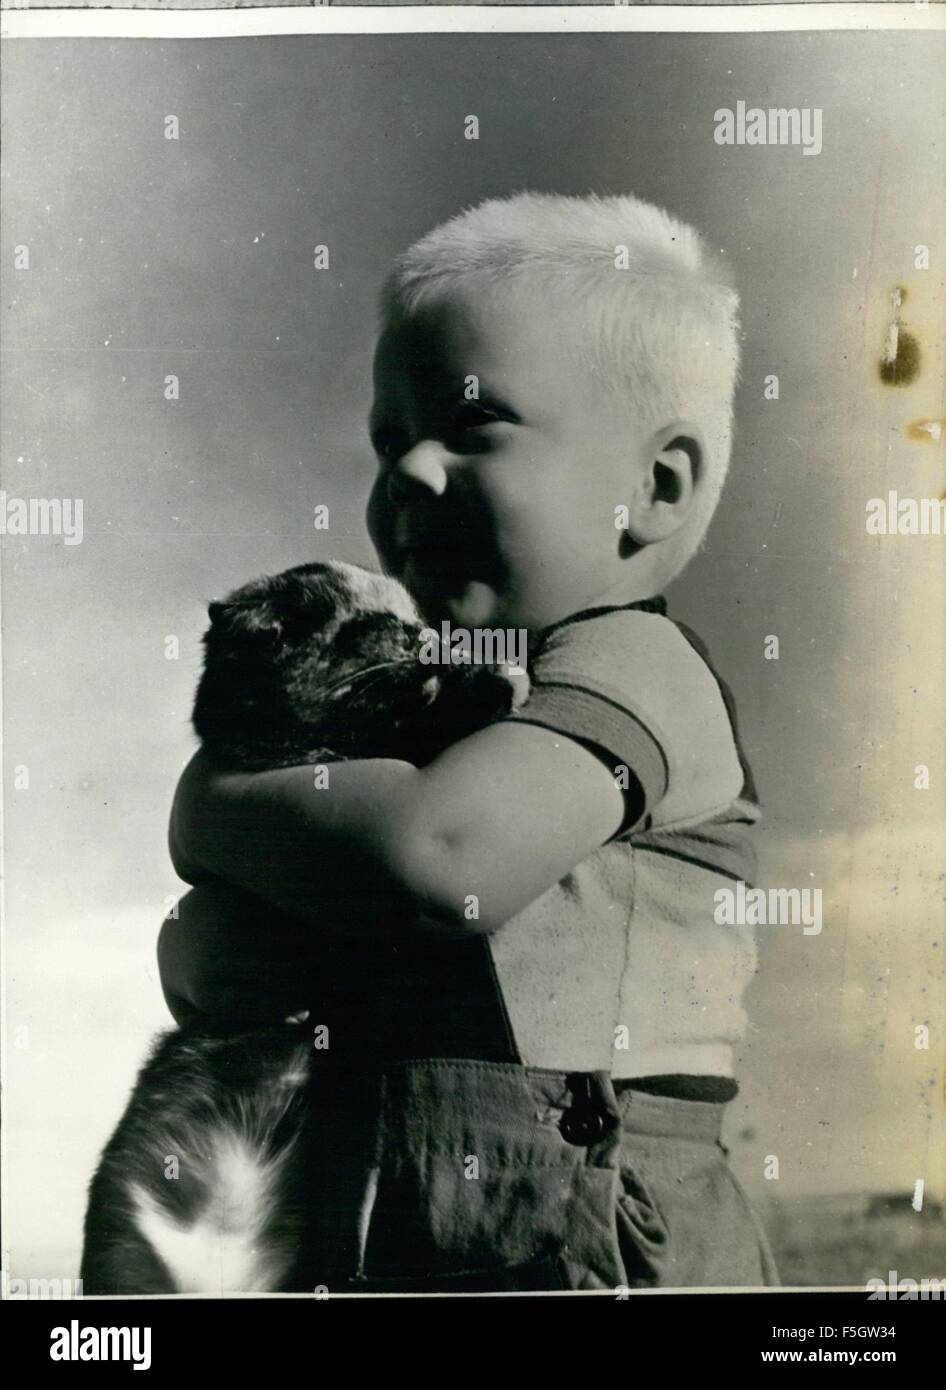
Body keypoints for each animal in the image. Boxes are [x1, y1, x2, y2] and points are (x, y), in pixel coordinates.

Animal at [78, 561, 527, 1289]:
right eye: (383, 629)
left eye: (418, 623)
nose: (430, 639)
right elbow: (408, 724)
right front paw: (485, 682)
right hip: (125, 1257)